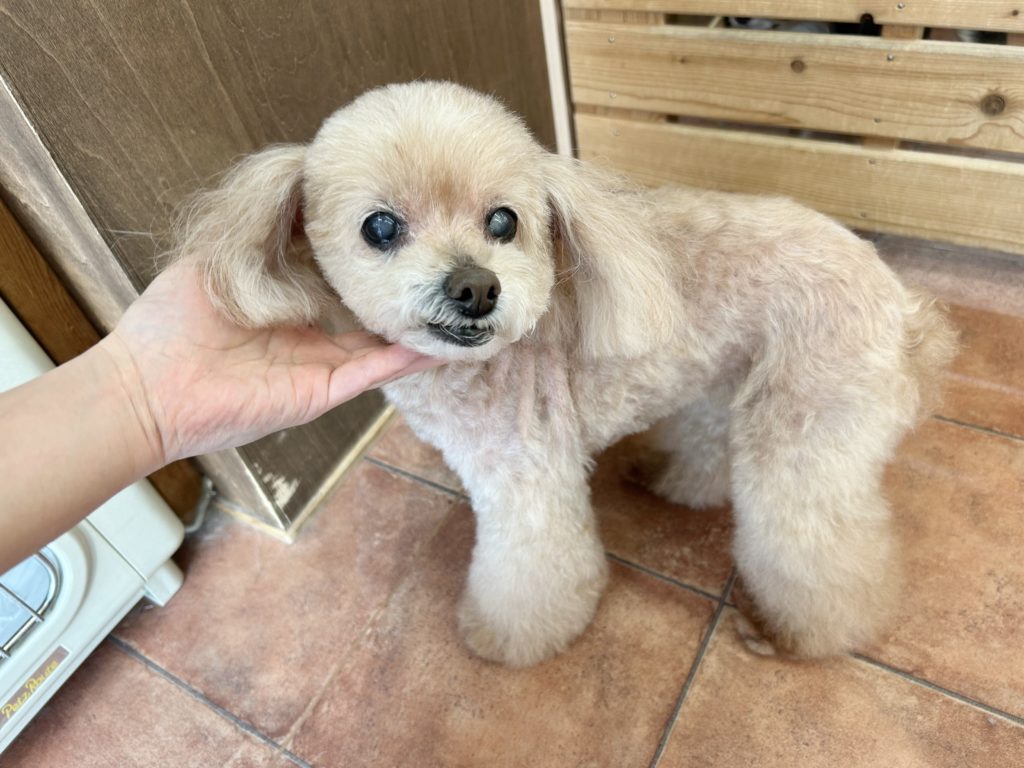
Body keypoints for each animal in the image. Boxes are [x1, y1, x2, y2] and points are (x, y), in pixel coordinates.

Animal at [178, 81, 957, 667]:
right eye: (380, 227)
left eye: (503, 221)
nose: (476, 288)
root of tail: (905, 310)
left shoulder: (527, 482)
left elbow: (530, 574)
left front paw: (504, 637)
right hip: (733, 378)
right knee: (712, 444)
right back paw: (674, 481)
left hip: (806, 427)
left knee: (822, 547)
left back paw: (797, 632)